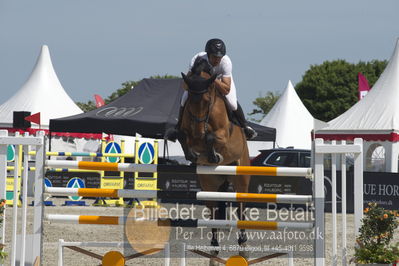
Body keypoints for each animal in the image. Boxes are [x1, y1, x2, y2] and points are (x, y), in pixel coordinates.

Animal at [178, 58, 250, 266]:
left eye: (207, 100)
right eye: (190, 101)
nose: (198, 131)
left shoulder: (222, 135)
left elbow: (211, 138)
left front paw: (213, 154)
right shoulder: (187, 131)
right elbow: (182, 135)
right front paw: (192, 155)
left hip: (241, 179)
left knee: (241, 209)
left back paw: (243, 247)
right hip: (210, 185)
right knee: (213, 213)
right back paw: (214, 250)